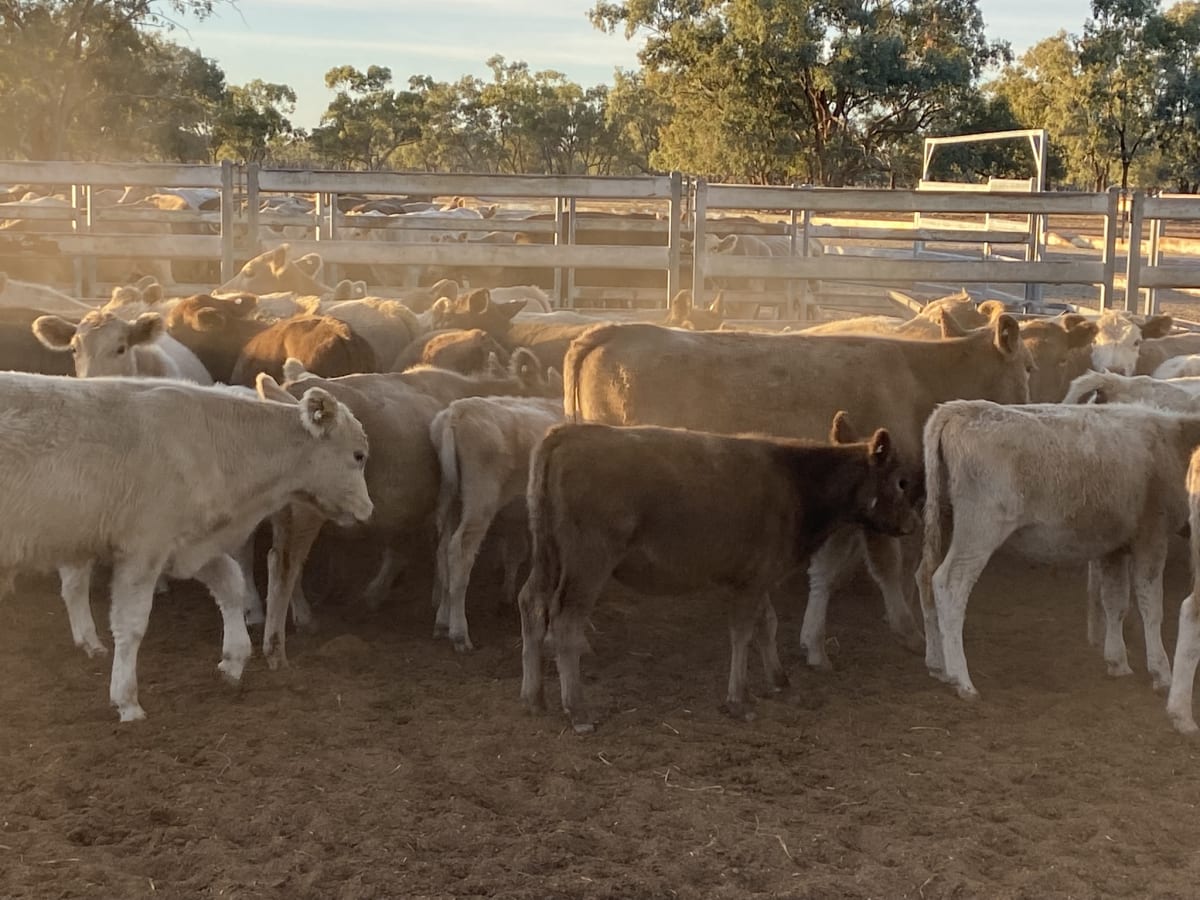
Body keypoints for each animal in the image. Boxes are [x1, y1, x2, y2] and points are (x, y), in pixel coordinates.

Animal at [0, 372, 371, 721]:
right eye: (359, 455)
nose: (368, 510)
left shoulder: (188, 544)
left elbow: (230, 583)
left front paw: (233, 660)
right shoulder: (144, 549)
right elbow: (131, 624)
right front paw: (127, 700)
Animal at [430, 396, 564, 651]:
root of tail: (457, 411)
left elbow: (516, 553)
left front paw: (506, 596)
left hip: (450, 498)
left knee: (442, 551)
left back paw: (442, 620)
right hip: (480, 498)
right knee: (459, 552)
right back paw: (459, 633)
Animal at [516, 418, 920, 733]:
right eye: (901, 481)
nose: (912, 525)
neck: (796, 481)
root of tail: (567, 434)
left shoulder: (759, 576)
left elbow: (767, 625)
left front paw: (780, 682)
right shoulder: (752, 582)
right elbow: (742, 633)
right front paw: (739, 699)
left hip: (548, 559)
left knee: (531, 606)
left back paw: (534, 697)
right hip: (588, 563)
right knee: (565, 623)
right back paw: (577, 709)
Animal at [918, 400, 1200, 701]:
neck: (1174, 442)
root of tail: (961, 409)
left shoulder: (1113, 546)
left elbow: (1115, 603)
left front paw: (1117, 662)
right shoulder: (1151, 537)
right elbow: (1152, 607)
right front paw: (1161, 673)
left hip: (943, 520)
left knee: (924, 577)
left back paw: (936, 664)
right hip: (979, 529)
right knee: (949, 584)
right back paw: (962, 680)